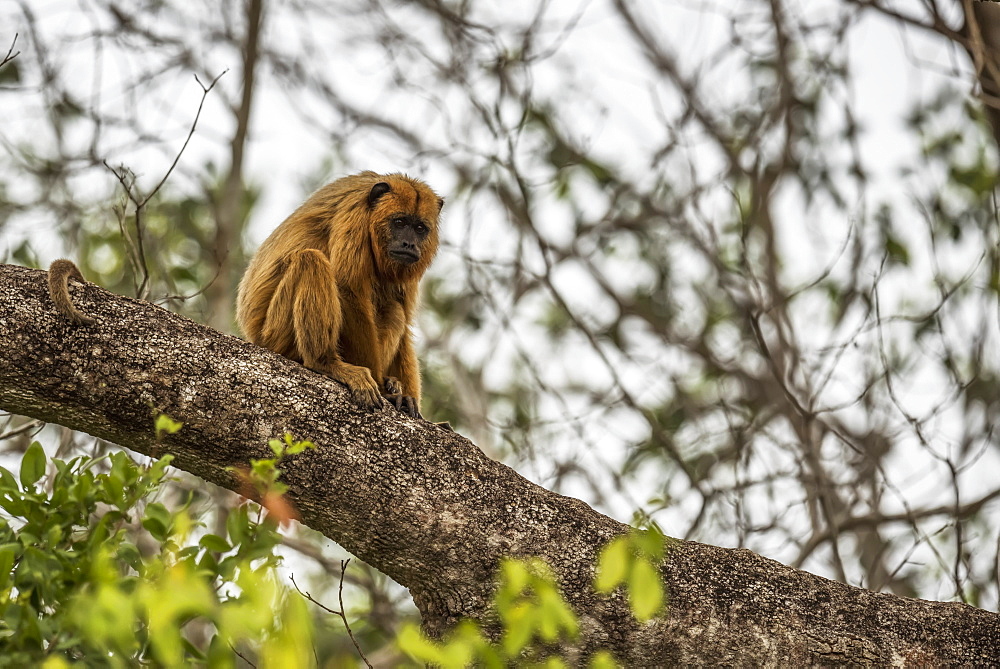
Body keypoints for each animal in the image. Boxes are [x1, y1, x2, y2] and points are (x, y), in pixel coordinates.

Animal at [236, 171, 444, 418]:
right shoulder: (354, 215)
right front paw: (385, 391)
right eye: (399, 222)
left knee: (394, 310)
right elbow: (347, 289)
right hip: (273, 335)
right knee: (310, 261)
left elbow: (405, 324)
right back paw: (325, 363)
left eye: (420, 228)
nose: (409, 244)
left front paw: (405, 397)